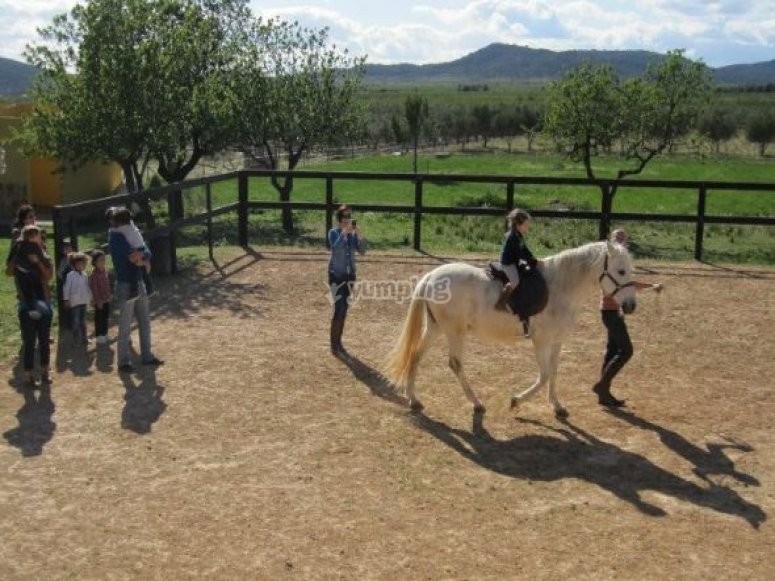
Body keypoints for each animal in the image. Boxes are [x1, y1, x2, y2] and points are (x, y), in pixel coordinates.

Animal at [384, 240, 636, 416]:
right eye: (621, 271)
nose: (631, 305)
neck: (558, 287)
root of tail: (431, 276)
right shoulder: (541, 341)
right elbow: (544, 375)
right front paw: (516, 400)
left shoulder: (556, 341)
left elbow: (553, 372)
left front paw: (557, 406)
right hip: (455, 332)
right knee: (455, 364)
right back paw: (476, 403)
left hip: (436, 328)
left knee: (416, 355)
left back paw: (414, 399)